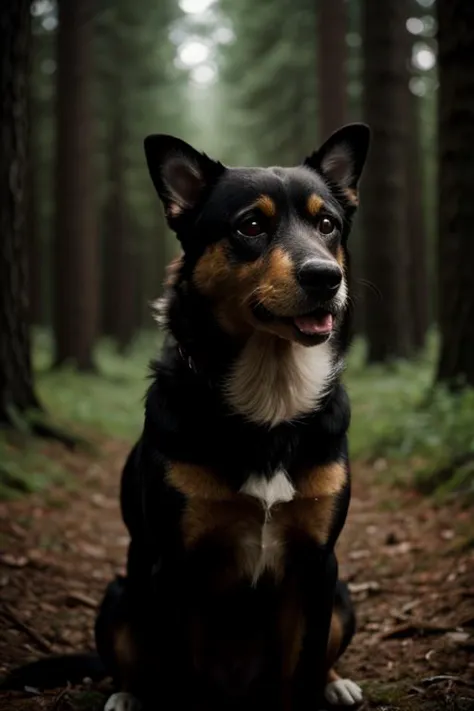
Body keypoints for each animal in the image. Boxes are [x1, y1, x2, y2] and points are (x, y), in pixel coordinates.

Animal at [0, 125, 370, 708]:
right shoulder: (172, 565)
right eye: (251, 225)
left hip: (342, 592)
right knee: (133, 661)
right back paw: (128, 694)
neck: (271, 394)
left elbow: (307, 664)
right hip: (120, 593)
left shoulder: (317, 562)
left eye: (327, 224)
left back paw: (339, 683)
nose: (325, 277)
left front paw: (321, 684)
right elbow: (174, 669)